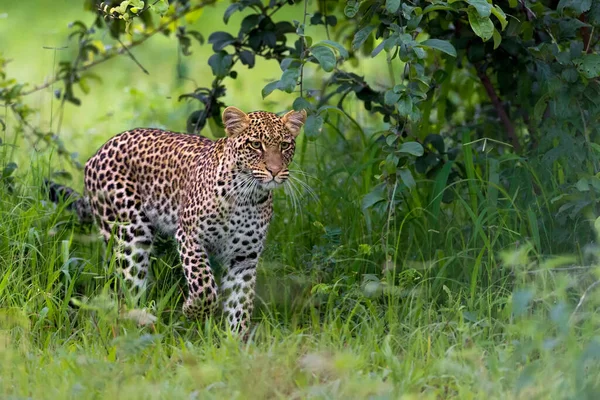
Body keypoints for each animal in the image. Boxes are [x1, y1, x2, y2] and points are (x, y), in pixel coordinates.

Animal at [46, 105, 308, 334]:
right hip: (130, 233)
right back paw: (137, 325)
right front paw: (192, 309)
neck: (248, 197)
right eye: (256, 145)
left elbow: (240, 305)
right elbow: (204, 286)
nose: (275, 171)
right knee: (127, 290)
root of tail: (97, 153)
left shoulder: (244, 257)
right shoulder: (190, 237)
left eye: (285, 145)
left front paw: (236, 345)